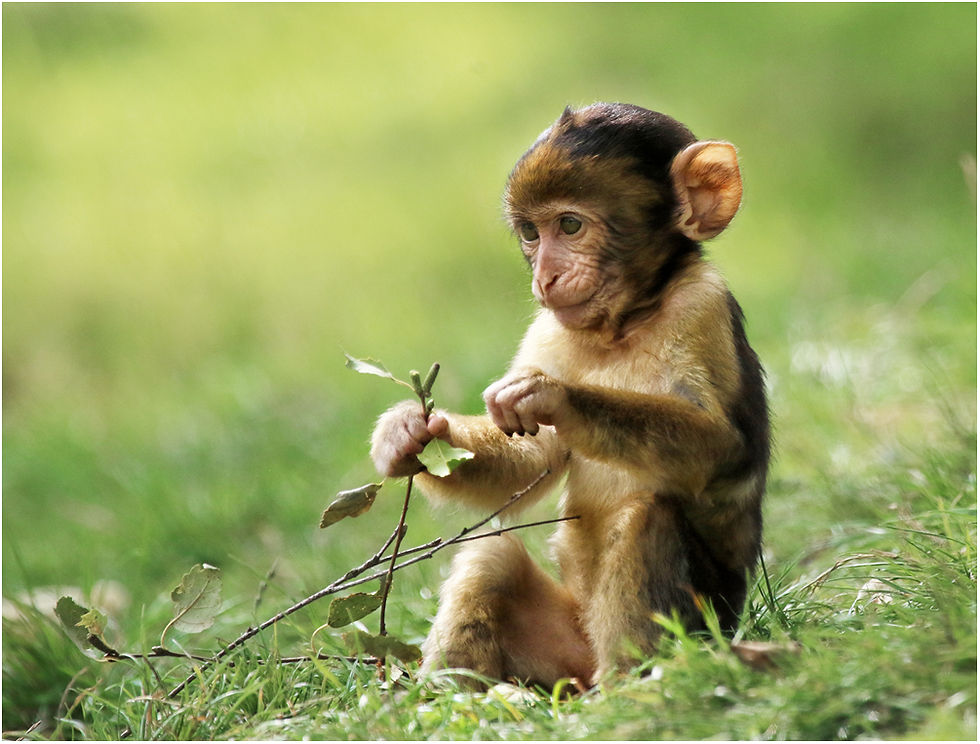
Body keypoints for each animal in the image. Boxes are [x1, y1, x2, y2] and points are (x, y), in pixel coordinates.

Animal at [370, 103, 770, 688]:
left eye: (571, 225)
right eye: (530, 233)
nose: (546, 277)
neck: (626, 325)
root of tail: (583, 671)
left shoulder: (703, 307)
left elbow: (724, 449)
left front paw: (557, 397)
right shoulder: (549, 330)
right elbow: (532, 456)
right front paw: (409, 434)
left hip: (703, 623)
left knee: (648, 514)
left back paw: (629, 688)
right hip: (559, 647)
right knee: (492, 562)